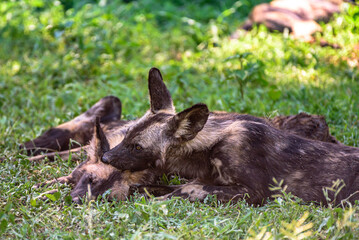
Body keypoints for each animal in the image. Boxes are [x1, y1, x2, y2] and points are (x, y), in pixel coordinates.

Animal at [100, 67, 359, 204]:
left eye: (137, 147)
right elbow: (147, 187)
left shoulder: (254, 193)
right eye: (126, 135)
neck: (209, 146)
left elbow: (189, 188)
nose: (105, 158)